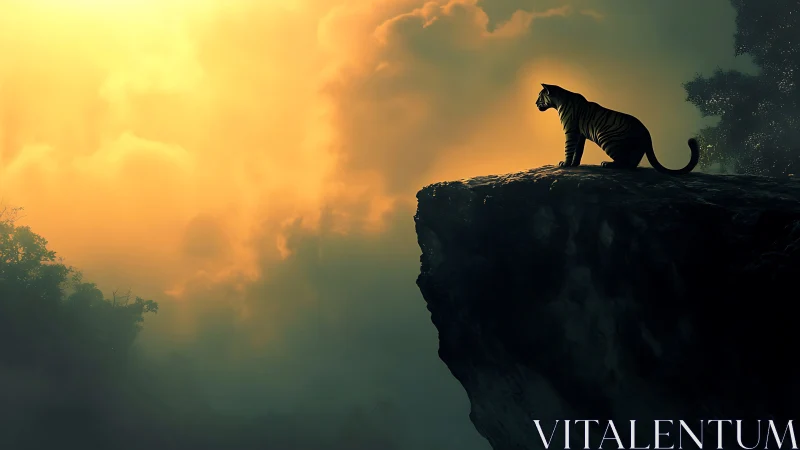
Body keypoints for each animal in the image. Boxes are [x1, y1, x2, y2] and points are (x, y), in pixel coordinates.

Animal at [535, 83, 699, 174]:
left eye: (539, 96)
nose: (535, 103)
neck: (559, 101)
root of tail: (646, 132)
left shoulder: (571, 132)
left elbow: (569, 149)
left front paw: (566, 164)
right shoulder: (580, 135)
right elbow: (578, 151)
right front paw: (574, 164)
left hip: (606, 138)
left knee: (624, 162)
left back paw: (607, 164)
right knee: (631, 164)